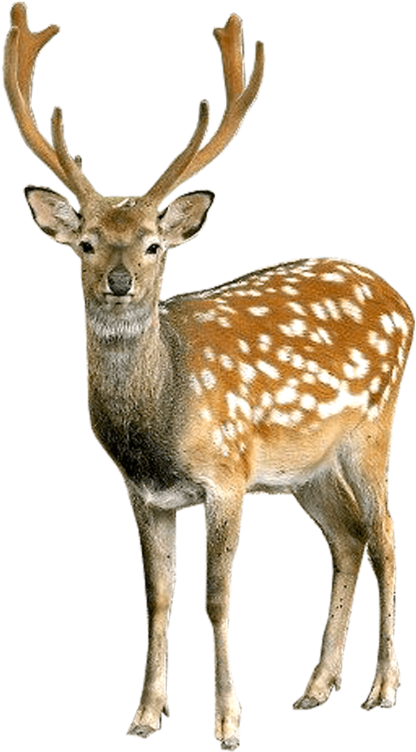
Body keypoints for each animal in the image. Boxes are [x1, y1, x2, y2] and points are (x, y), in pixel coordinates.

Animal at [3, 3, 414, 750]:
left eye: (153, 245)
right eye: (86, 243)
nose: (118, 282)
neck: (162, 420)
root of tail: (401, 299)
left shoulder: (227, 474)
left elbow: (216, 596)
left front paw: (226, 722)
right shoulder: (144, 492)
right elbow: (158, 595)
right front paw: (144, 714)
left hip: (374, 425)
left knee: (387, 535)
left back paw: (381, 689)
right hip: (304, 468)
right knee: (347, 539)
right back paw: (315, 688)